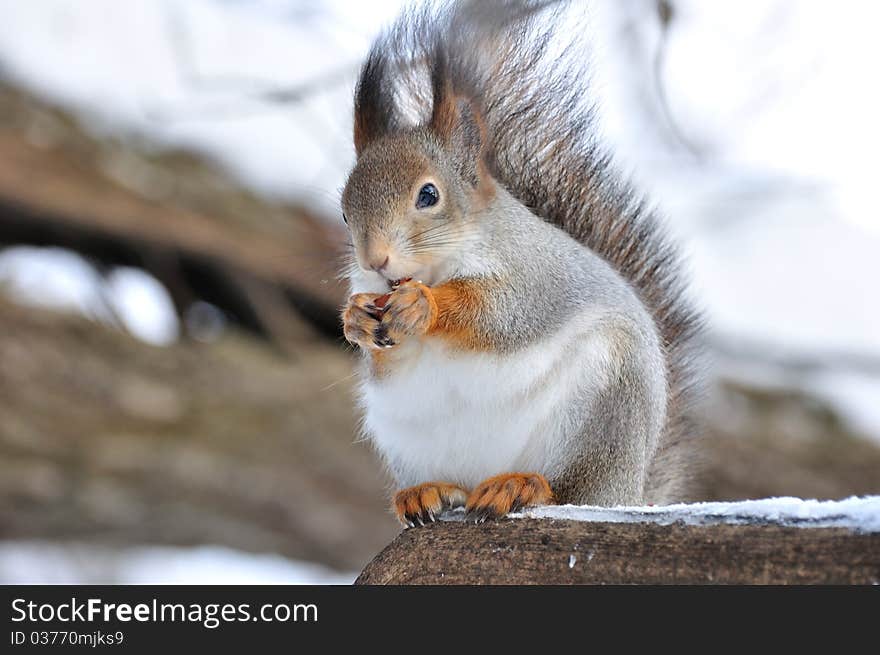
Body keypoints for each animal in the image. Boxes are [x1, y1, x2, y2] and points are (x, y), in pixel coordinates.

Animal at [336, 0, 700, 524]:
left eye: (428, 195)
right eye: (345, 211)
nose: (376, 259)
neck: (434, 266)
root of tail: (630, 490)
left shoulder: (534, 276)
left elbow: (500, 314)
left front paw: (425, 305)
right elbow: (383, 359)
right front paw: (357, 320)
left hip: (602, 408)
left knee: (570, 490)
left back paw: (521, 486)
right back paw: (426, 492)